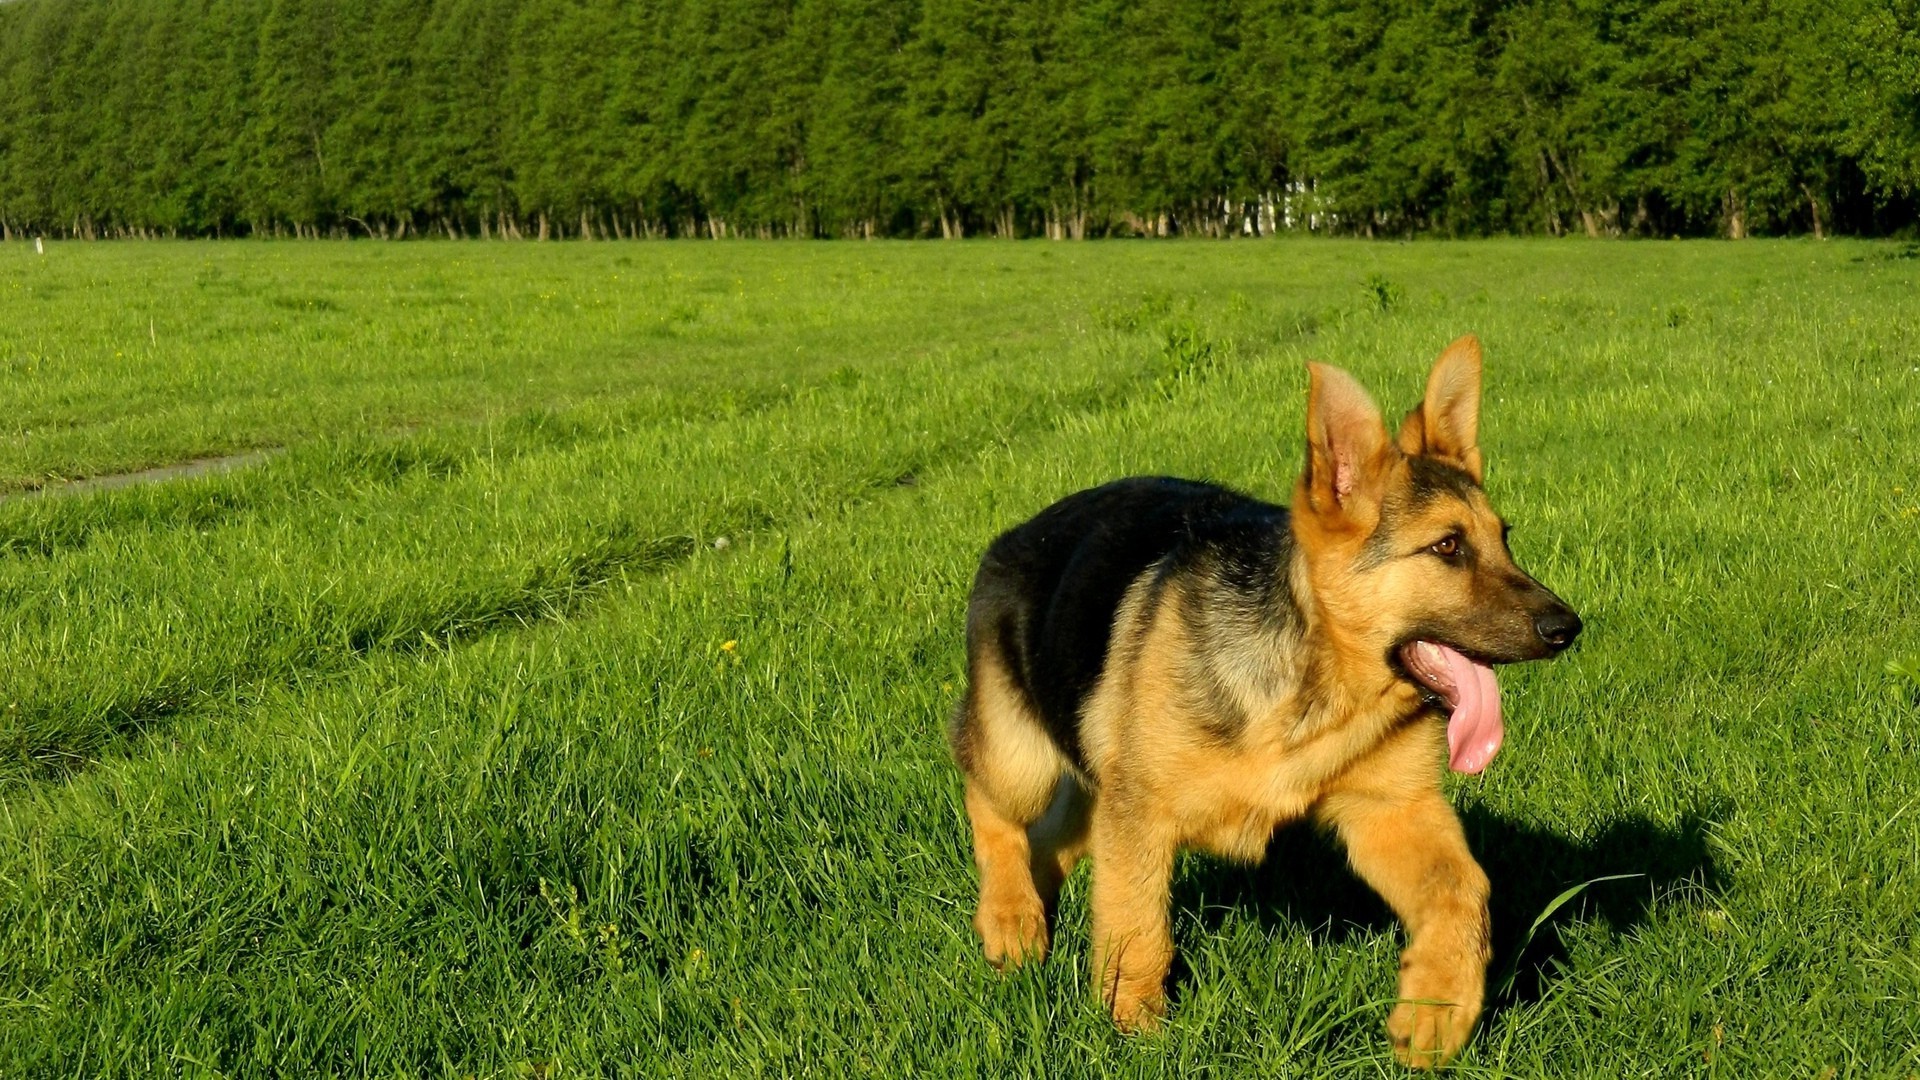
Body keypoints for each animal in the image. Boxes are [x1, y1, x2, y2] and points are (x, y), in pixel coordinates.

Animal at [952, 338, 1582, 1068]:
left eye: (1504, 537)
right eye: (1447, 546)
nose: (1569, 628)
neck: (1317, 686)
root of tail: (1015, 534)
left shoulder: (1391, 810)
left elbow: (1464, 892)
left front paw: (1436, 1010)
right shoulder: (1139, 819)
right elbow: (1137, 930)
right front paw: (1137, 1032)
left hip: (1091, 791)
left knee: (1052, 841)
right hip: (1020, 762)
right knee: (989, 806)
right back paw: (1010, 920)